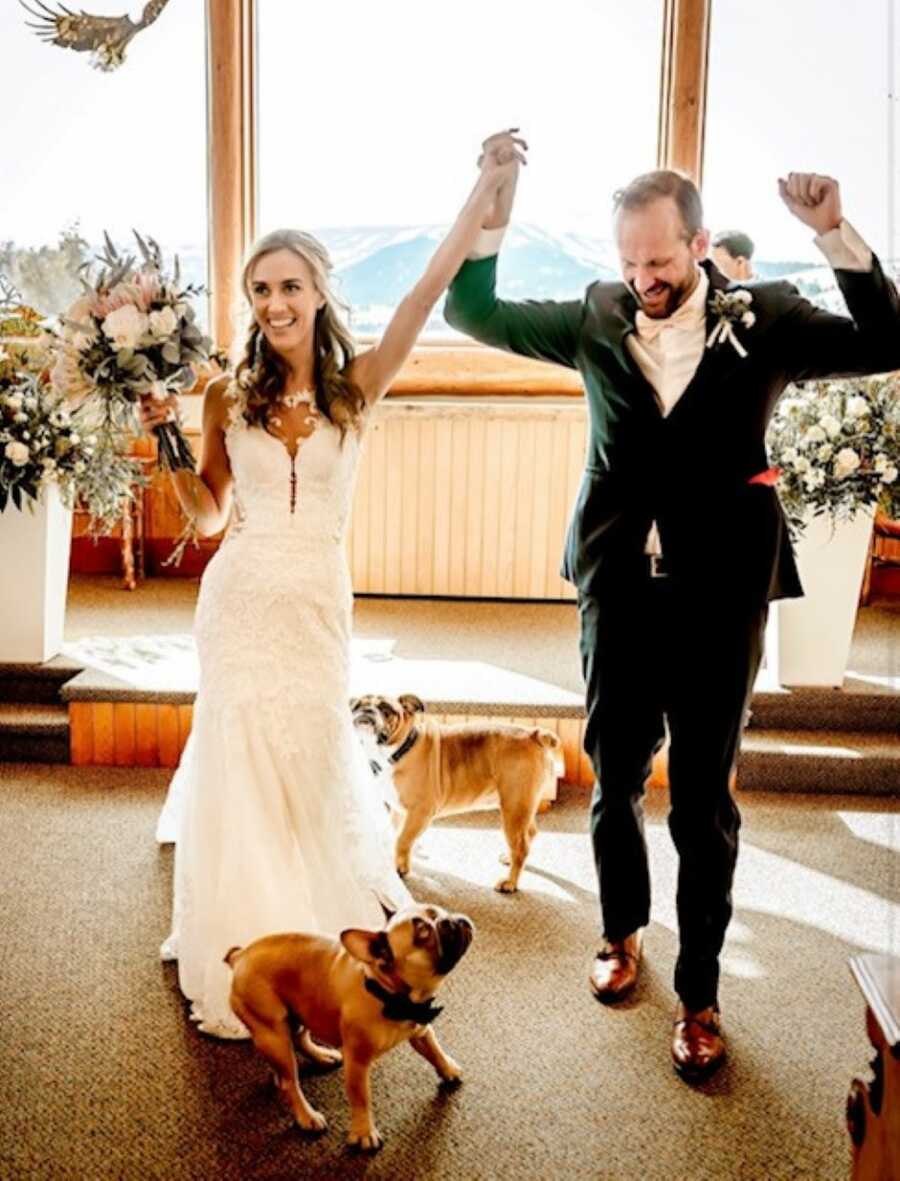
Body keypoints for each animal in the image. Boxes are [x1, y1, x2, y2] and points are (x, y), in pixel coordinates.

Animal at [223, 902, 470, 1152]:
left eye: (437, 911)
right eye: (422, 933)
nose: (450, 920)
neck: (390, 994)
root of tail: (240, 956)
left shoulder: (421, 1028)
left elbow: (434, 1050)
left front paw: (448, 1070)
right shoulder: (357, 1062)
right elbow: (360, 1098)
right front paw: (364, 1132)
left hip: (301, 1012)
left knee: (299, 1040)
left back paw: (322, 1056)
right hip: (272, 1031)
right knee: (288, 1081)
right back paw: (307, 1116)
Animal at [349, 689, 562, 892]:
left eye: (386, 708)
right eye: (356, 706)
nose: (366, 711)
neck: (398, 749)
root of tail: (534, 734)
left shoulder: (420, 812)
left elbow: (402, 839)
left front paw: (400, 868)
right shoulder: (399, 810)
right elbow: (396, 834)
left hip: (513, 808)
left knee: (520, 846)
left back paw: (510, 882)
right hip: (522, 805)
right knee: (530, 833)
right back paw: (508, 859)